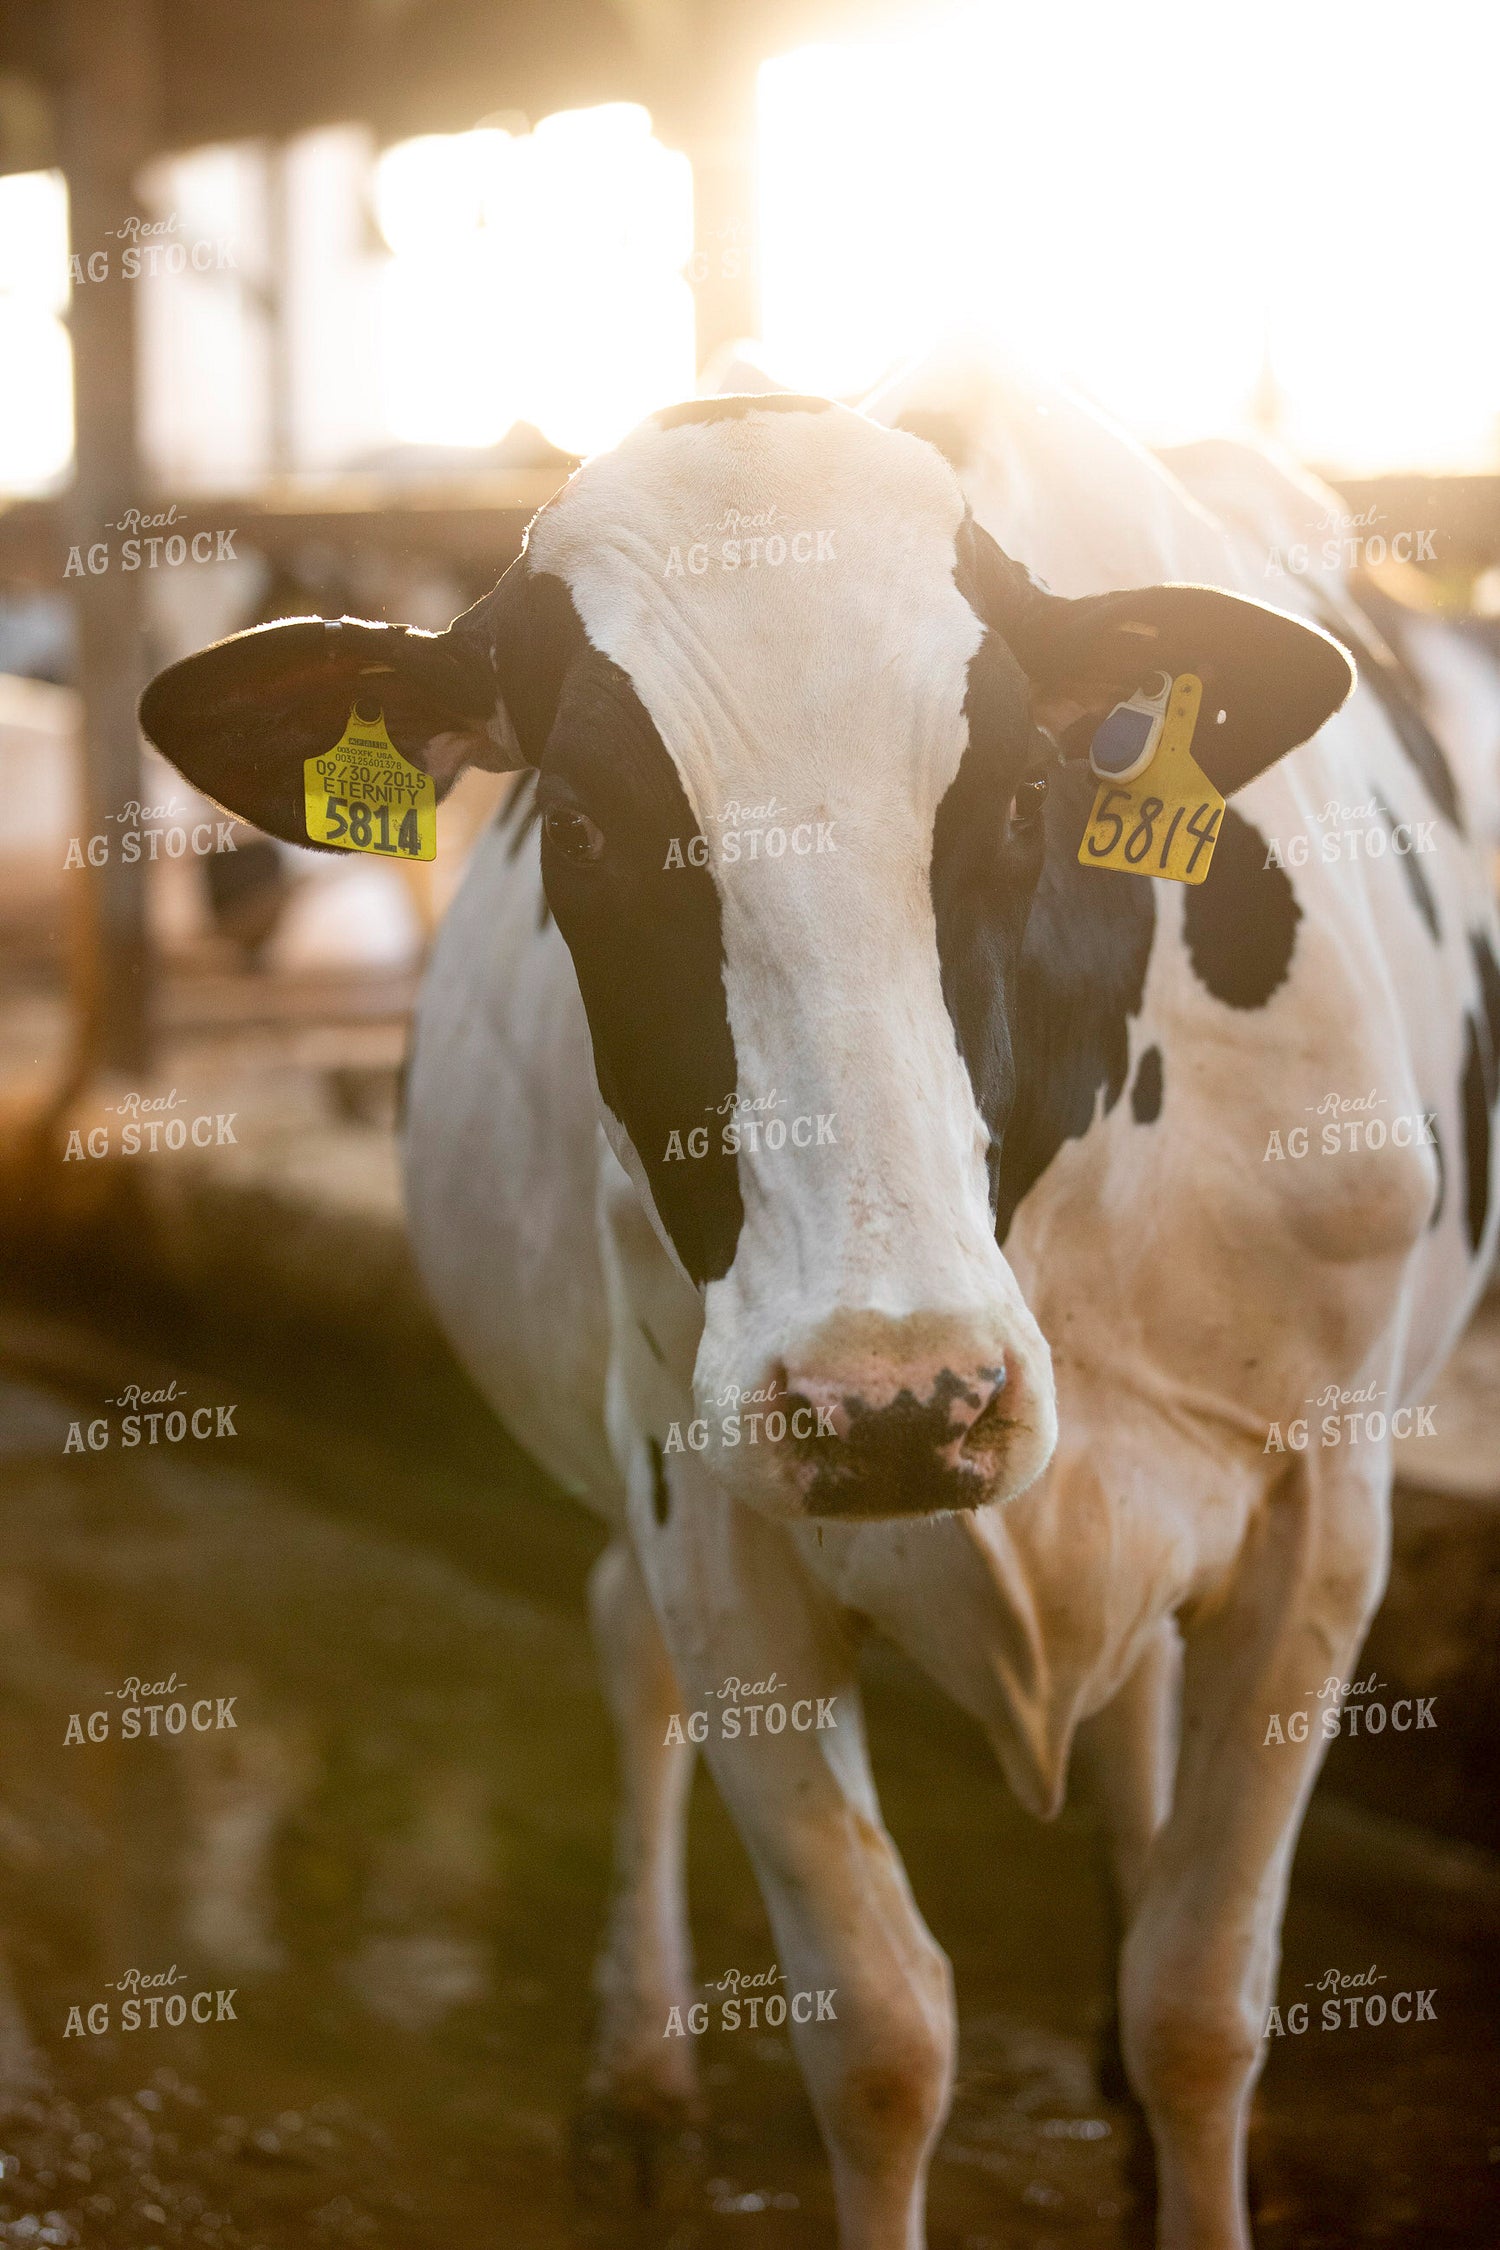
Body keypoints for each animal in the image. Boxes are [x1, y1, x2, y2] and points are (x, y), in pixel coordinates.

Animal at [137, 350, 1500, 2250]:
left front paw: (1166, 2102)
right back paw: (639, 2073)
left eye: (1023, 800)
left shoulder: (1326, 1504)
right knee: (623, 1643)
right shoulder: (713, 1504)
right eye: (583, 824)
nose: (903, 1398)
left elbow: (1200, 2003)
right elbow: (879, 2034)